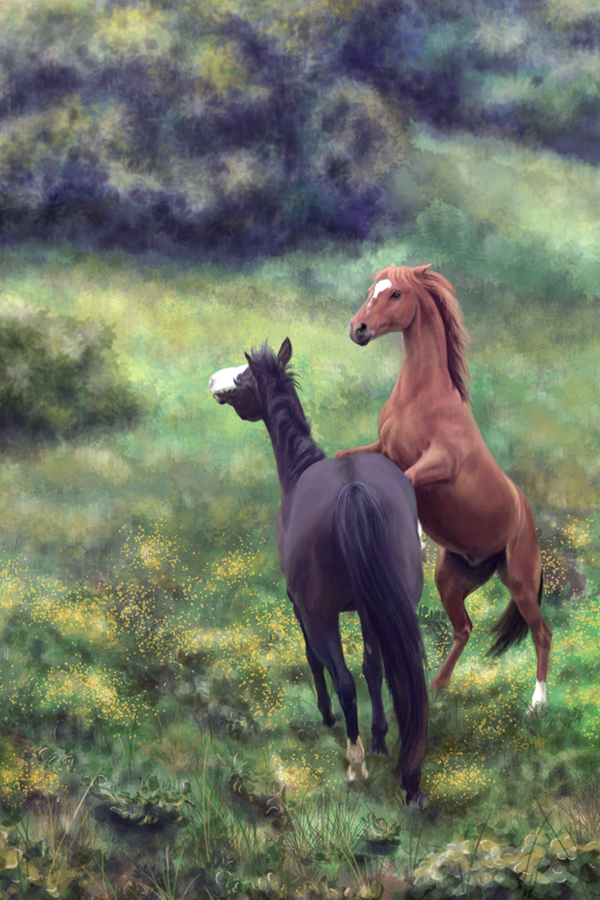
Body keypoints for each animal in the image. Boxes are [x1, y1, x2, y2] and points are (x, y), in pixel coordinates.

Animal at [210, 338, 428, 804]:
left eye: (244, 377)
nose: (214, 381)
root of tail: (353, 488)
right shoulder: (369, 609)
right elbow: (375, 667)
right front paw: (380, 738)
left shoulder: (299, 605)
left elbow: (316, 660)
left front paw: (329, 717)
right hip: (393, 605)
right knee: (391, 671)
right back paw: (398, 762)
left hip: (321, 612)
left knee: (343, 678)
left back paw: (355, 761)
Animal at [336, 264, 552, 715]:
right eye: (372, 290)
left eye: (395, 294)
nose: (357, 329)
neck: (422, 399)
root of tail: (527, 515)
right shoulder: (383, 450)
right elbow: (345, 456)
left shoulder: (441, 463)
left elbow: (407, 481)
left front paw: (415, 537)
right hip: (452, 579)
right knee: (464, 628)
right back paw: (436, 688)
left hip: (521, 581)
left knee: (542, 633)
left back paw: (537, 705)